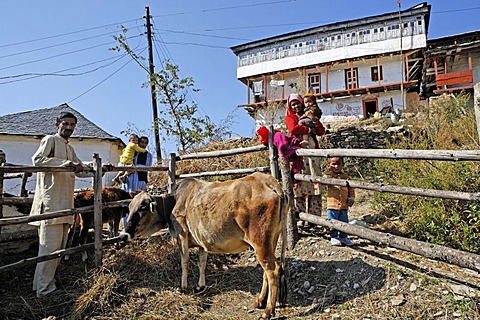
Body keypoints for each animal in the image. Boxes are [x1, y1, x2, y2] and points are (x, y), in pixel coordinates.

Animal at [124, 174, 288, 318]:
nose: (125, 234)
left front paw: (183, 288)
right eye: (129, 208)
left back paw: (268, 311)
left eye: (142, 208)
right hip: (271, 241)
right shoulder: (202, 240)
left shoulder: (182, 236)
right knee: (266, 271)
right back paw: (259, 301)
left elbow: (185, 262)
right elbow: (201, 263)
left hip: (260, 242)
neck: (174, 201)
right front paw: (200, 286)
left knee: (273, 270)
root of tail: (270, 182)